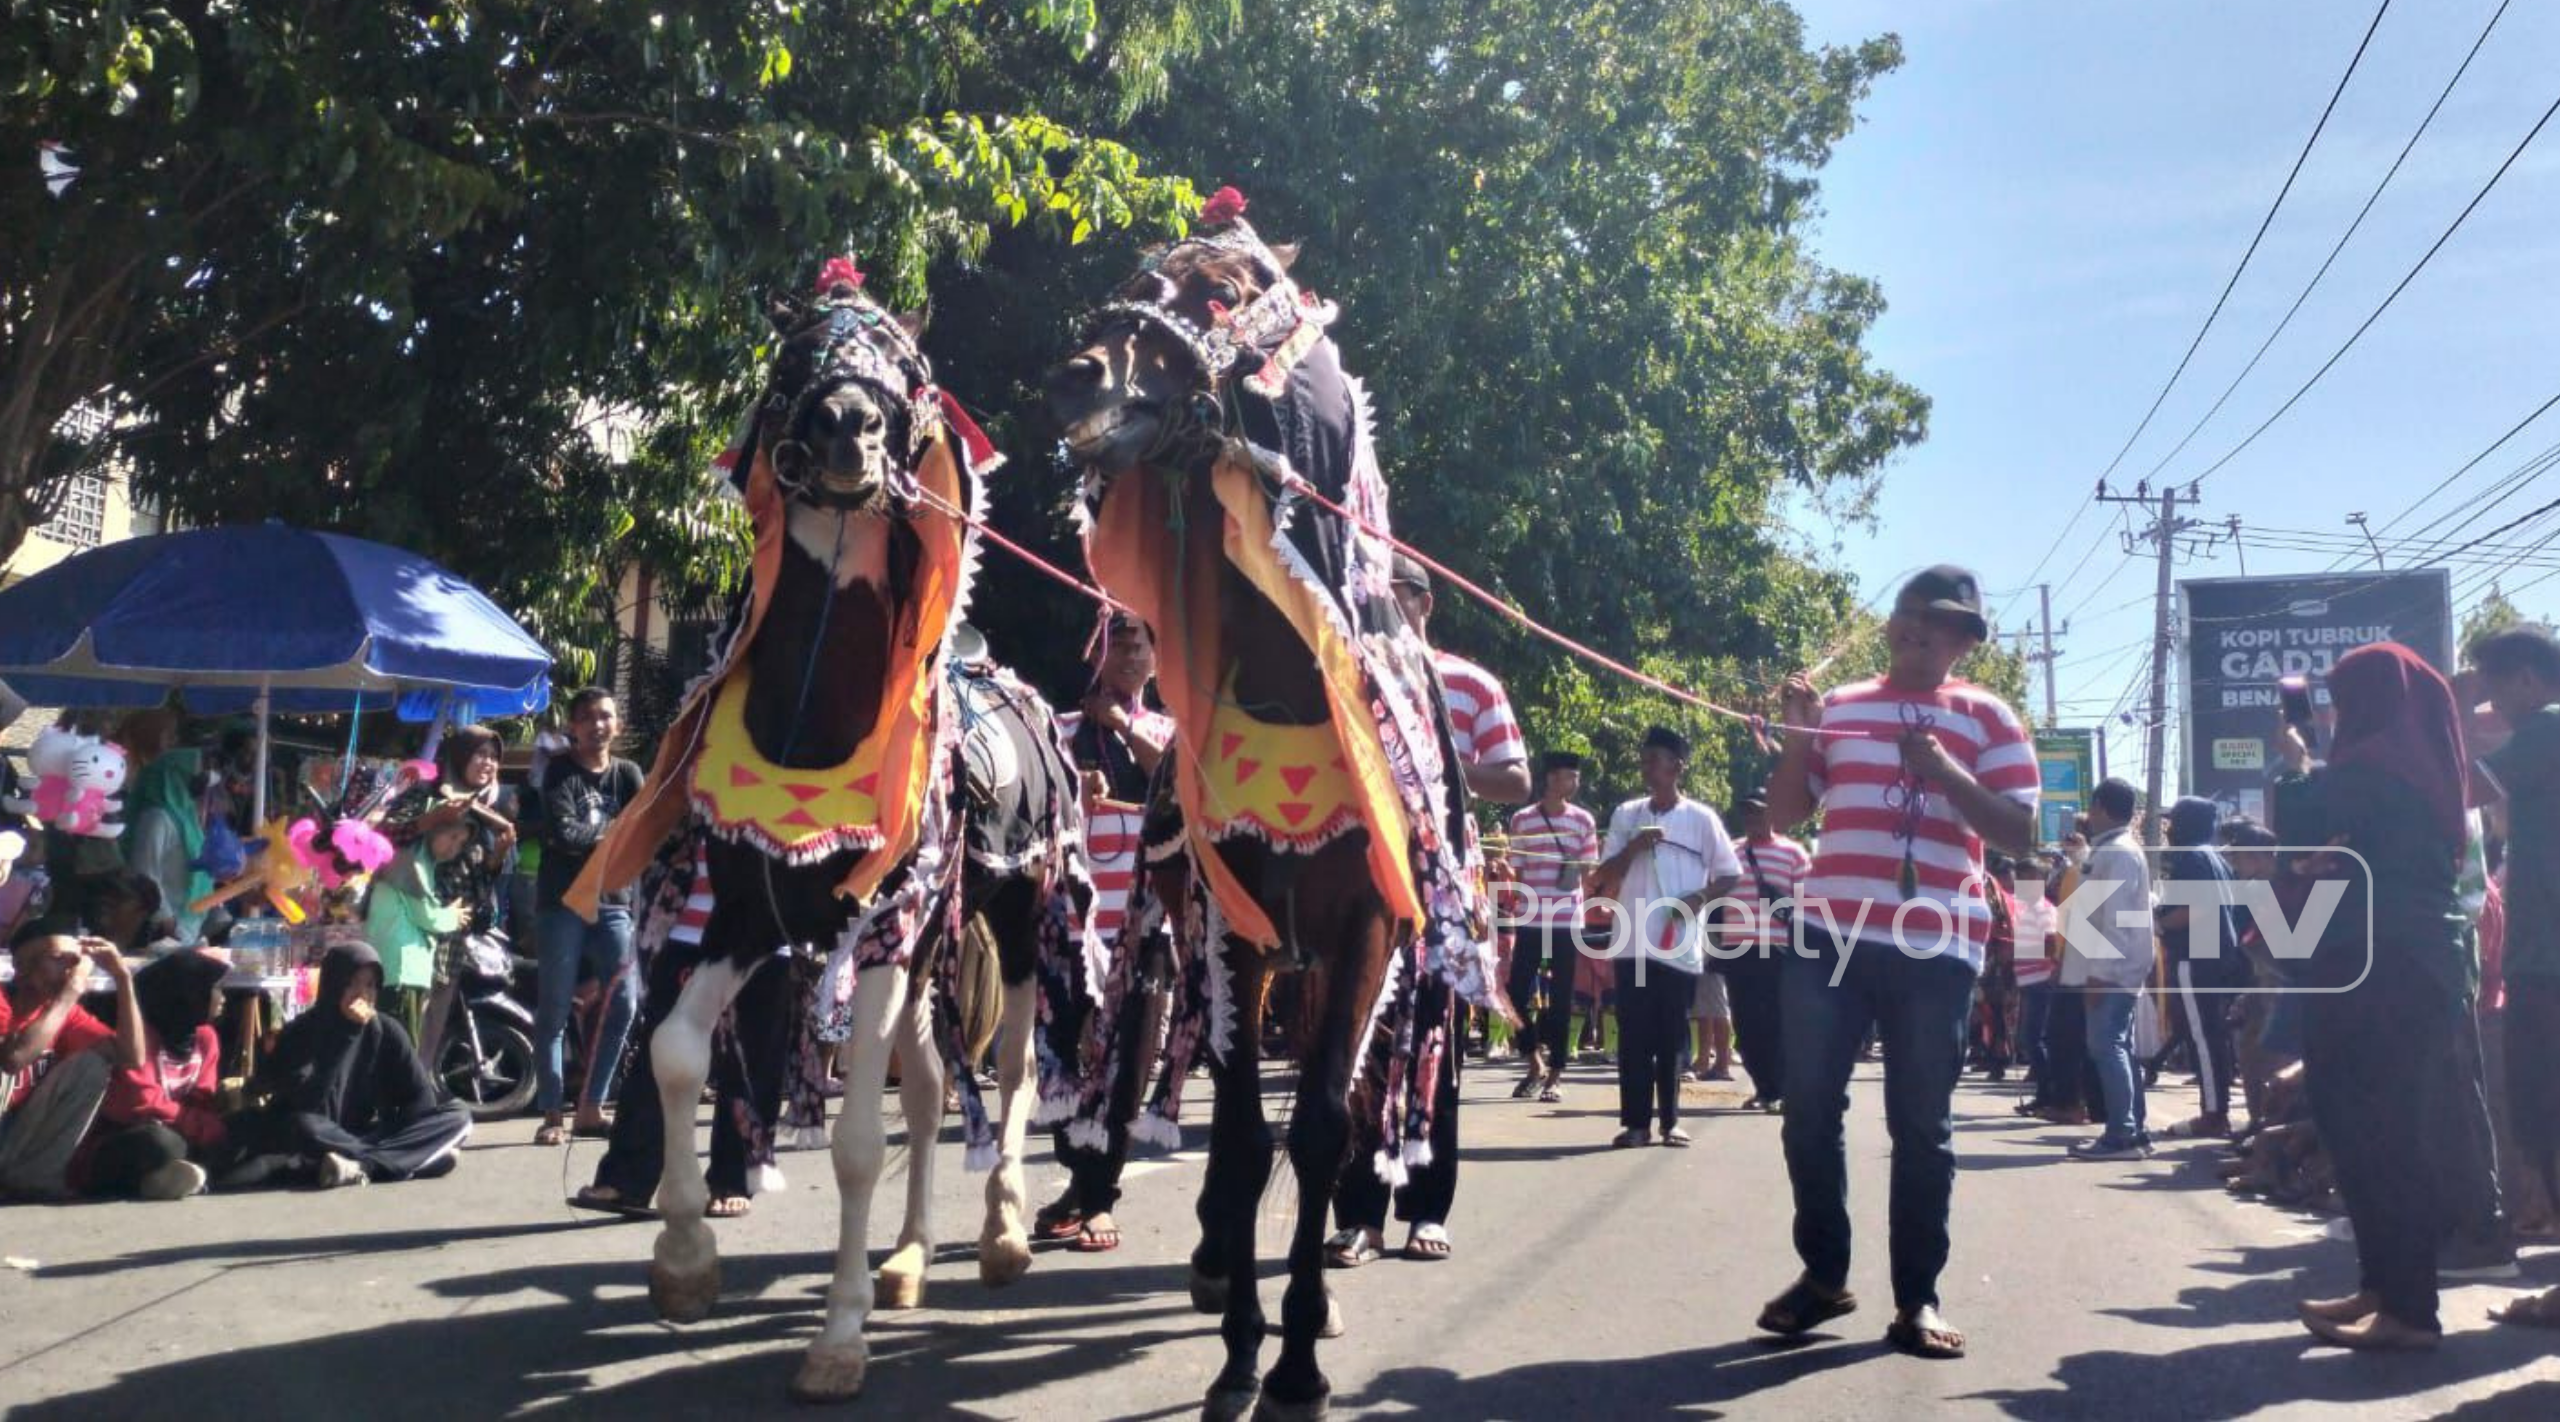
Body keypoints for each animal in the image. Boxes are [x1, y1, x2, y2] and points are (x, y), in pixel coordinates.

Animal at [570, 256, 1090, 1404]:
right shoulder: (748, 919)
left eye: (908, 361)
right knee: (935, 1087)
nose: (849, 425)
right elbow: (675, 1053)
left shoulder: (884, 930)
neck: (814, 717)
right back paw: (906, 1259)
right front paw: (683, 1260)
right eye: (798, 354)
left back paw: (1001, 1233)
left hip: (1014, 916)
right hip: (932, 947)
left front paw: (839, 1336)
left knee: (1015, 1069)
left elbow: (855, 1136)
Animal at [1049, 192, 1505, 1422]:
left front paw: (1298, 1356)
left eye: (1218, 294)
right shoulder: (1228, 925)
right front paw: (1242, 1352)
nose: (1078, 375)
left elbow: (1321, 1129)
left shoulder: (1369, 931)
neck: (1292, 686)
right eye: (1129, 283)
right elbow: (1250, 1137)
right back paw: (1216, 1259)